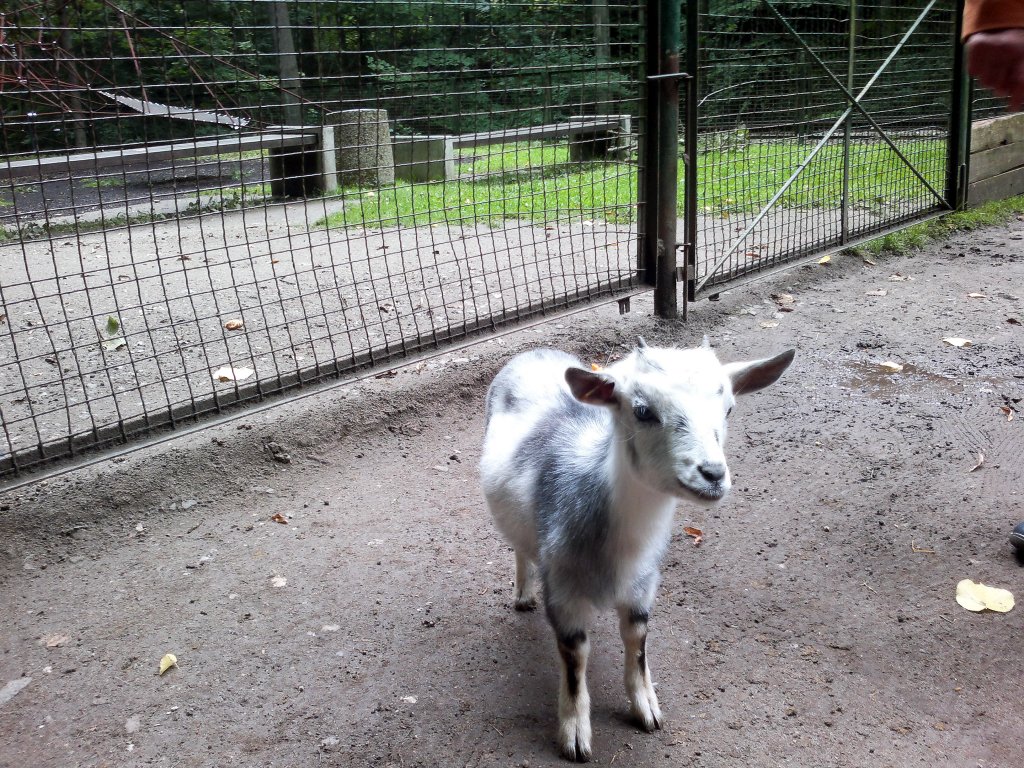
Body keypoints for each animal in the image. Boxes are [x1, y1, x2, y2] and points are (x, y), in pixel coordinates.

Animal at [479, 337, 790, 765]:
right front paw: (574, 733)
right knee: (519, 548)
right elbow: (575, 658)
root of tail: (535, 352)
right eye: (643, 411)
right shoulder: (562, 588)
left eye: (729, 408)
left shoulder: (644, 584)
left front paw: (647, 709)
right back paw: (523, 593)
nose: (712, 475)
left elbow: (637, 641)